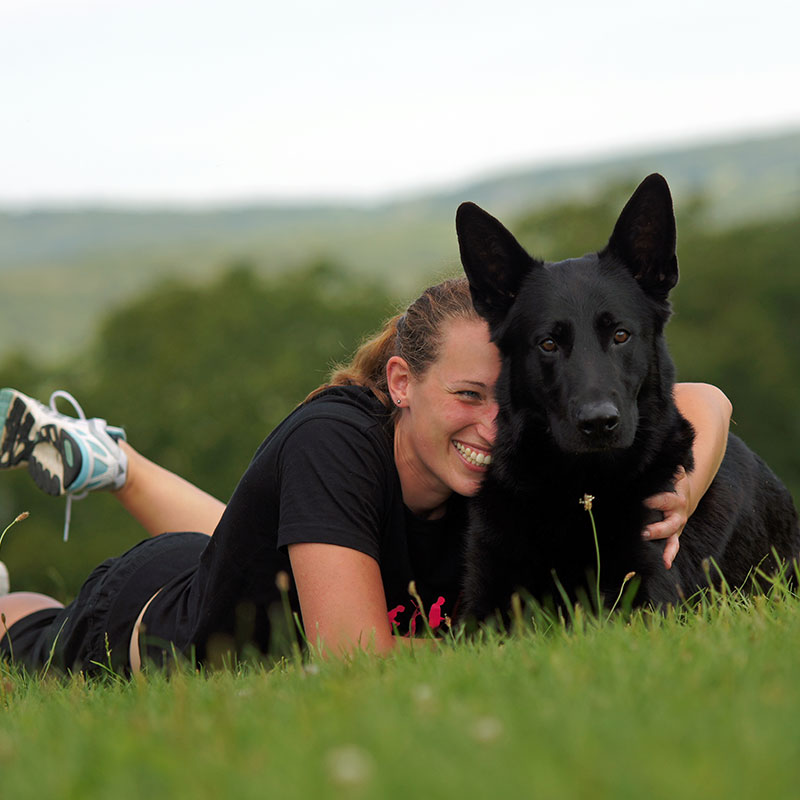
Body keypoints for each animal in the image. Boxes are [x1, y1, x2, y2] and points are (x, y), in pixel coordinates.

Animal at [456, 175, 800, 620]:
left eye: (620, 334)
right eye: (548, 343)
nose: (599, 423)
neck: (576, 487)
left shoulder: (649, 595)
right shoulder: (483, 605)